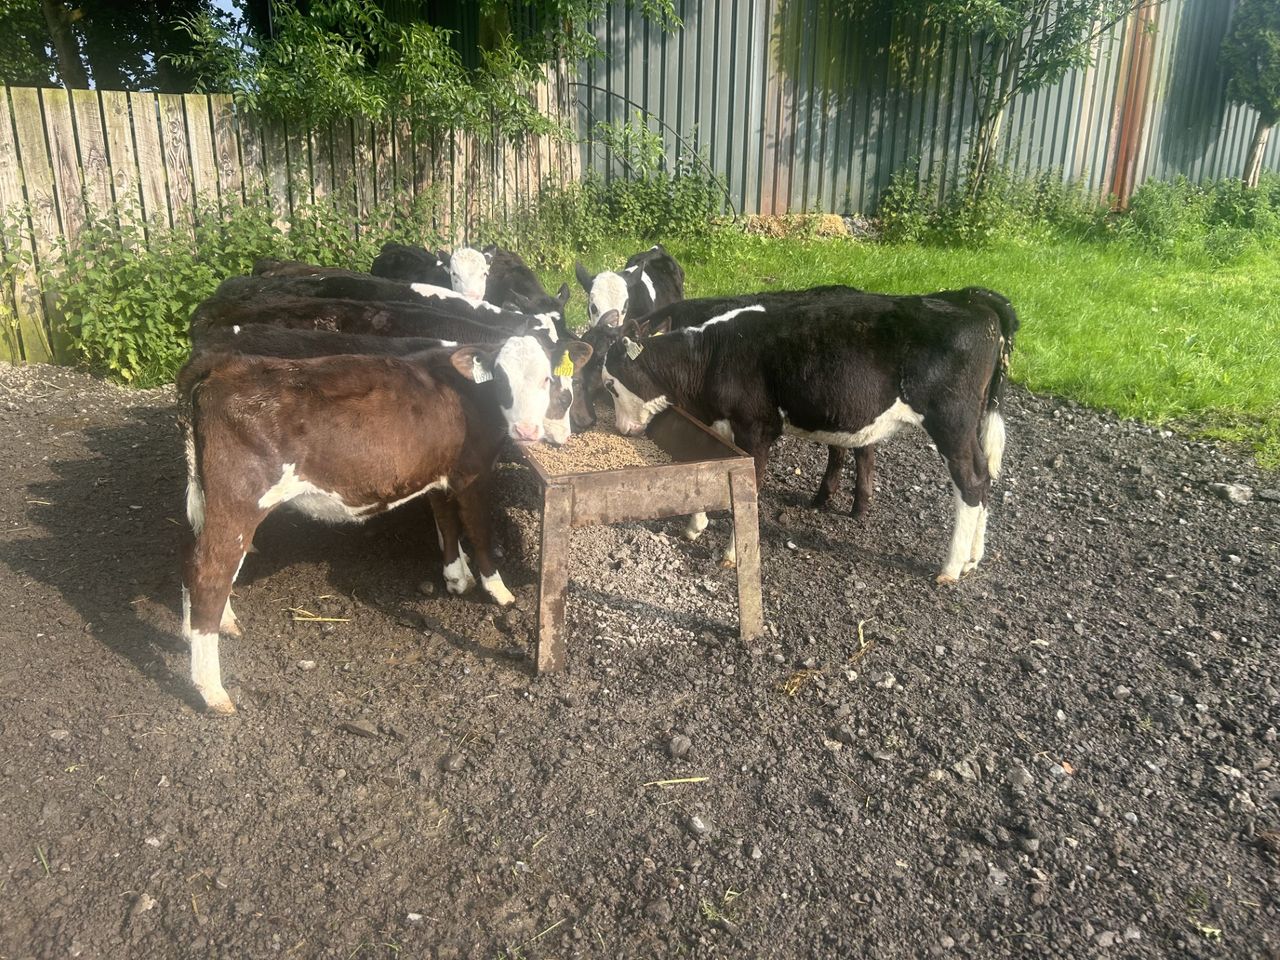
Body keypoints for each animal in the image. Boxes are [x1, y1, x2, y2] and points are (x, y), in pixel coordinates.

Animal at [178, 334, 592, 714]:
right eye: (502, 379)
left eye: (546, 378)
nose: (527, 431)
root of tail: (226, 364)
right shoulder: (472, 474)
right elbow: (478, 530)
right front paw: (499, 591)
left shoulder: (439, 473)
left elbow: (445, 522)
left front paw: (456, 577)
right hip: (240, 498)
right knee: (210, 572)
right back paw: (212, 690)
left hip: (205, 497)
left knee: (193, 557)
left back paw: (210, 626)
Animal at [598, 286, 1018, 583]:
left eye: (610, 385)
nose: (621, 429)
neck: (713, 355)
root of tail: (969, 300)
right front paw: (695, 525)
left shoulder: (756, 429)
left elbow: (747, 489)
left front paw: (733, 553)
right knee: (985, 476)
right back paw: (973, 558)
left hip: (951, 419)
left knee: (970, 480)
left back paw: (950, 567)